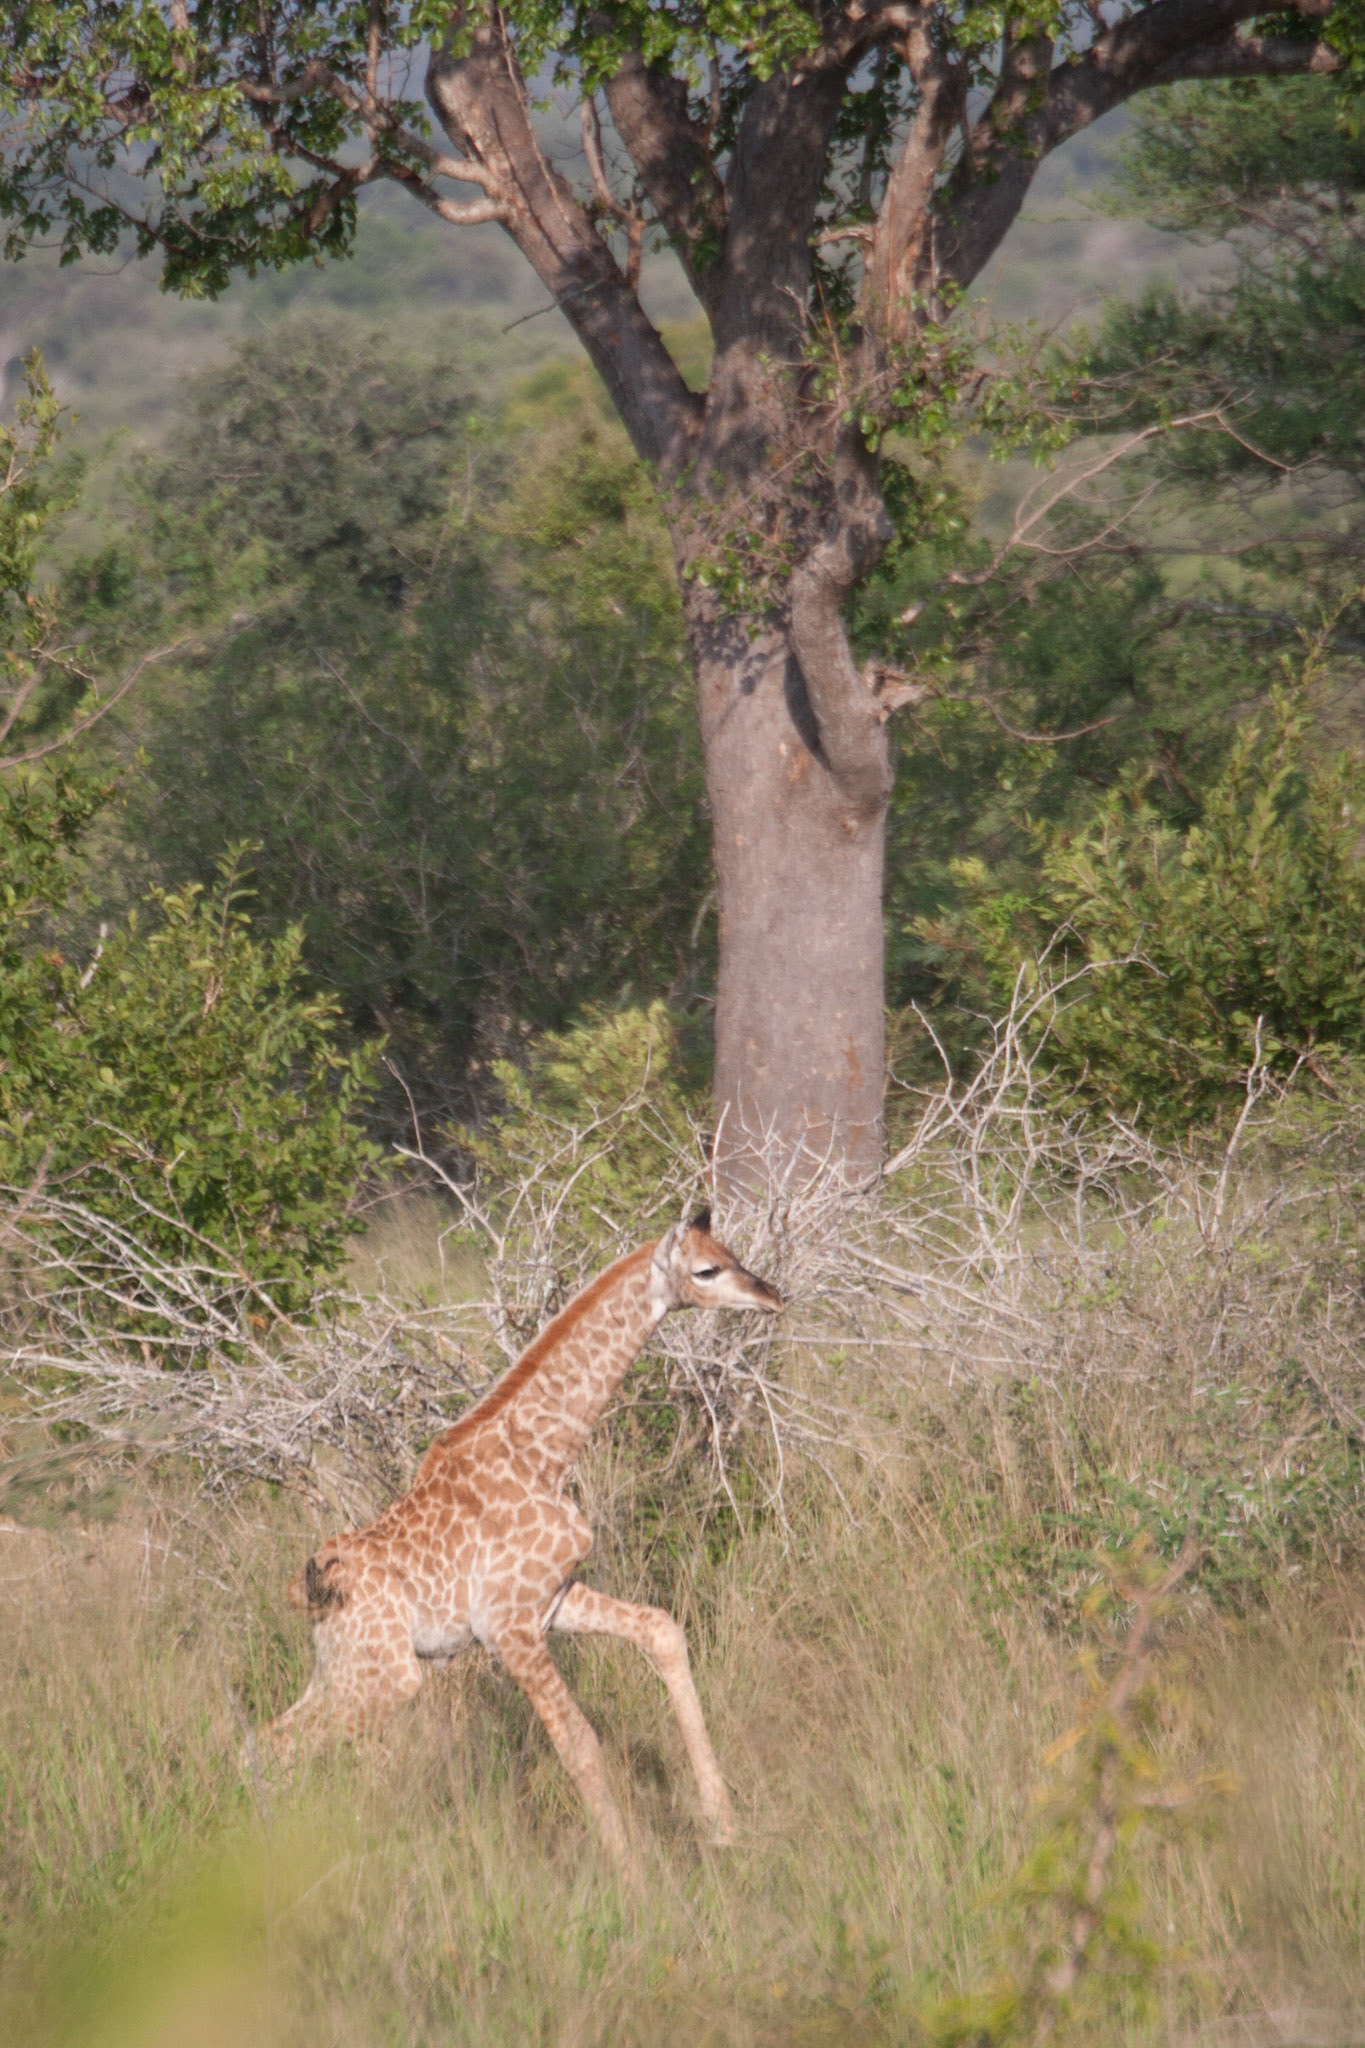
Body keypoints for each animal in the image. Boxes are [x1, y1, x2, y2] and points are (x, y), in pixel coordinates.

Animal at [259, 1210, 782, 1868]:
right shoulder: (507, 1628)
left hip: (343, 1667)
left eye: (733, 1253)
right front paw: (634, 1876)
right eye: (707, 1270)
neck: (544, 1456)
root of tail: (310, 1589)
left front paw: (723, 1826)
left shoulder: (552, 1600)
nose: (773, 1296)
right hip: (389, 1677)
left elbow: (663, 1630)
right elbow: (580, 1744)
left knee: (264, 1745)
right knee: (275, 1749)